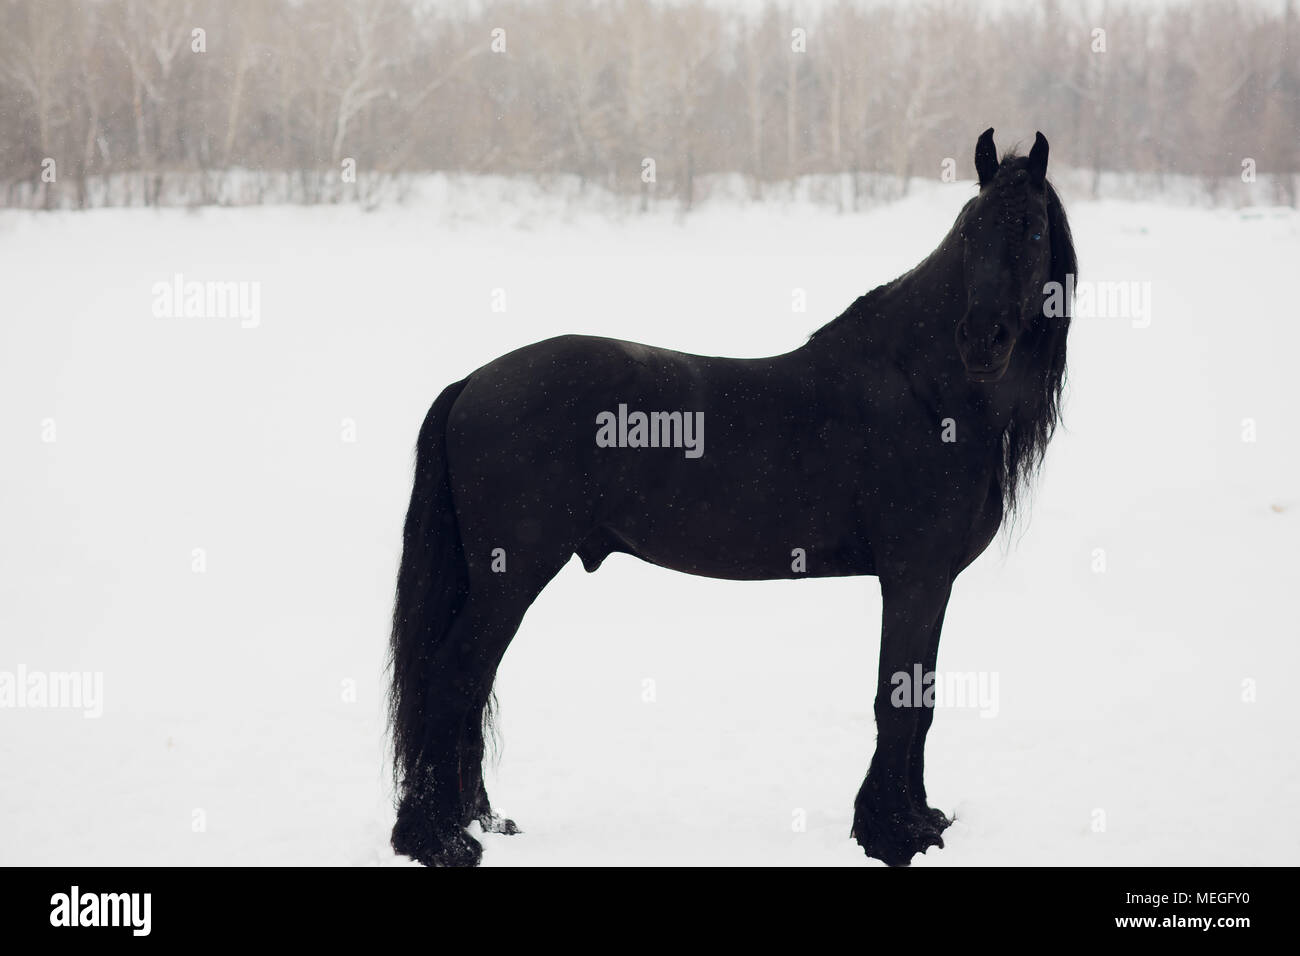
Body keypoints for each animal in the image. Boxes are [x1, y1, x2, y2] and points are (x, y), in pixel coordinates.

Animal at [388, 128, 1077, 867]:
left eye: (1033, 230)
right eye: (971, 230)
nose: (982, 341)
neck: (928, 392)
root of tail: (472, 383)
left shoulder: (930, 580)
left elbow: (916, 695)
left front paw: (916, 820)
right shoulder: (915, 575)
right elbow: (902, 699)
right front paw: (893, 834)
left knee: (470, 686)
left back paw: (476, 822)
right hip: (509, 576)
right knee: (454, 677)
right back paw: (438, 839)